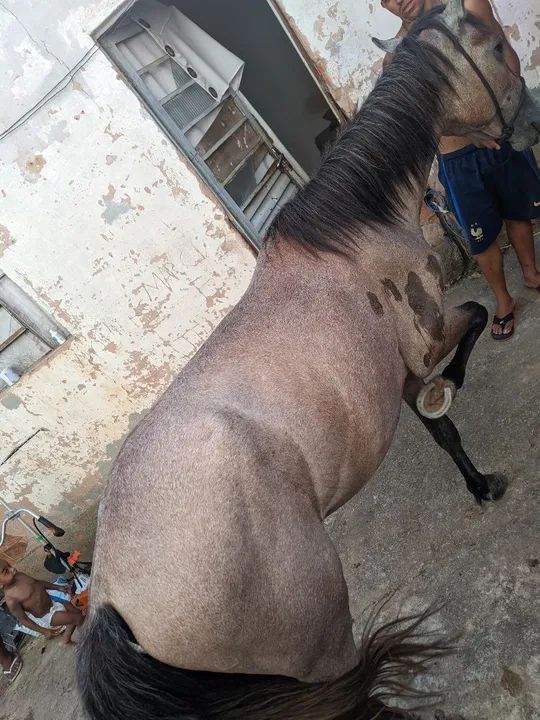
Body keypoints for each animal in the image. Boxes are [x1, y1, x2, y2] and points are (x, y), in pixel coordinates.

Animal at [77, 2, 538, 718]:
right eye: (493, 46)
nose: (530, 126)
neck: (354, 229)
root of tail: (110, 607)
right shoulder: (427, 340)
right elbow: (473, 326)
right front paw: (454, 390)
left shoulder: (399, 372)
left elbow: (444, 432)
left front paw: (480, 484)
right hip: (320, 641)